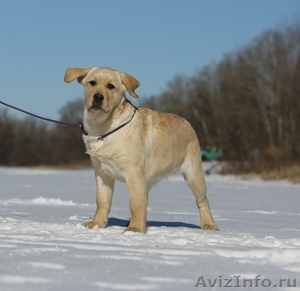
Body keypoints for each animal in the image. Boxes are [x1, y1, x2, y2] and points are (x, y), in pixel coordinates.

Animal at [63, 67, 218, 234]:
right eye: (92, 82)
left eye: (111, 86)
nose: (98, 97)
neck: (103, 128)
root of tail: (188, 123)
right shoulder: (102, 172)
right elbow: (102, 200)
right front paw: (97, 223)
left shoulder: (133, 171)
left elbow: (135, 203)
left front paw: (135, 229)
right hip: (148, 180)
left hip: (193, 175)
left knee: (203, 200)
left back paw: (209, 224)